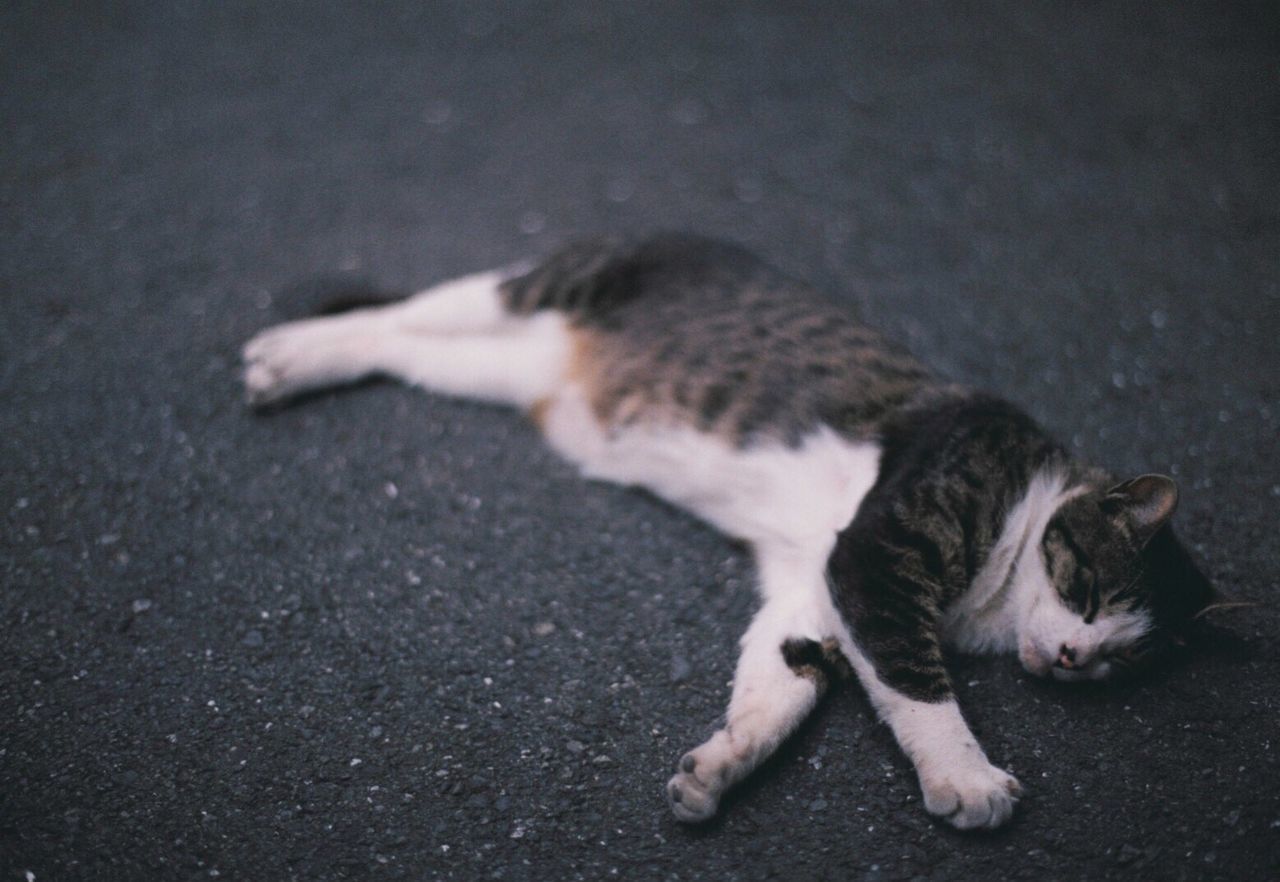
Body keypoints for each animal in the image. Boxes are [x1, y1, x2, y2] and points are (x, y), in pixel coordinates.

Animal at [241, 231, 1218, 824]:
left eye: (1129, 655)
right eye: (1090, 593)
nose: (1075, 659)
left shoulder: (813, 582)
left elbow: (778, 685)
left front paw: (721, 766)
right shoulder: (877, 555)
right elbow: (919, 687)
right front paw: (969, 779)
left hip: (501, 370)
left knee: (407, 351)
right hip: (534, 289)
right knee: (405, 311)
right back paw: (287, 352)